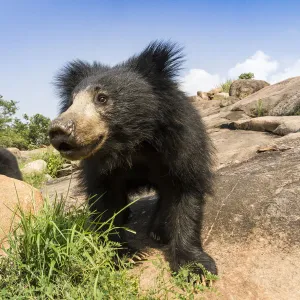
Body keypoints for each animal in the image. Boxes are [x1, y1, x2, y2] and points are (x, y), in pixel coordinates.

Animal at [49, 41, 218, 276]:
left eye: (102, 98)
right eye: (71, 103)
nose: (59, 130)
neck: (133, 144)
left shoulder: (182, 143)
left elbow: (186, 191)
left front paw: (195, 267)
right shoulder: (98, 166)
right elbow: (106, 201)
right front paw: (123, 254)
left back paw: (158, 230)